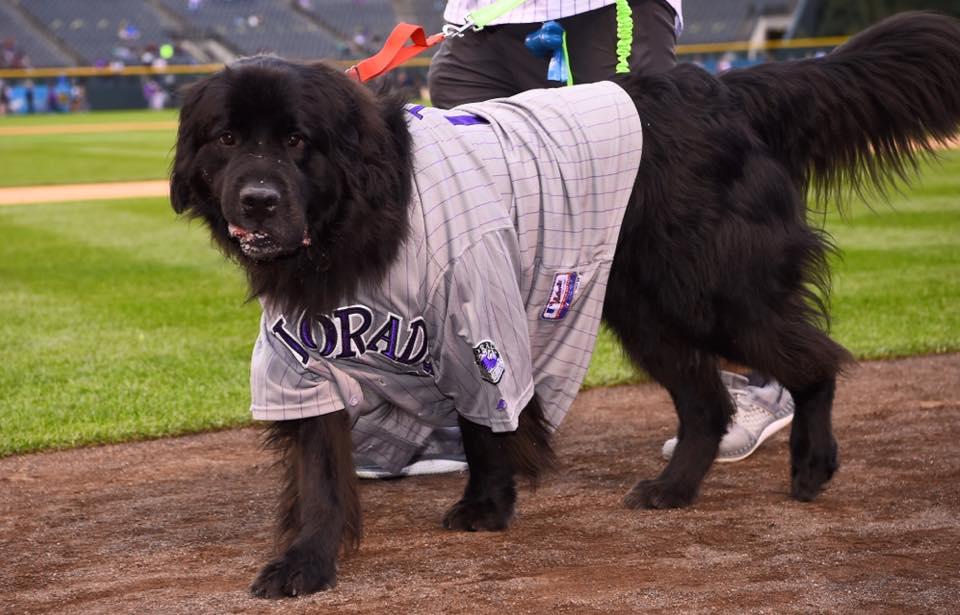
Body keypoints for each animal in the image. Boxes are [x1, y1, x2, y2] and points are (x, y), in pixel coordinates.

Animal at [171, 12, 960, 600]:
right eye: (227, 138)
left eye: (297, 140)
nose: (257, 200)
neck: (357, 222)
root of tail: (722, 90)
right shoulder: (300, 360)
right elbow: (319, 472)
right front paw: (305, 561)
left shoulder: (480, 319)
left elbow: (487, 426)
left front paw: (485, 508)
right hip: (645, 307)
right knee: (707, 401)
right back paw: (672, 490)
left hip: (709, 292)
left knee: (814, 360)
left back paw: (811, 461)